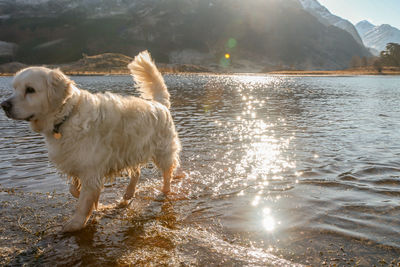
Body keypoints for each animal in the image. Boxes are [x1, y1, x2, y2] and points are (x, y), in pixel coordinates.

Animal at [0, 51, 181, 233]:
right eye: (14, 88)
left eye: (30, 90)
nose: (4, 105)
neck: (66, 116)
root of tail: (159, 104)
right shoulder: (75, 160)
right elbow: (74, 189)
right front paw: (89, 199)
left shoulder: (90, 169)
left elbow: (83, 202)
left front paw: (75, 223)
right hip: (131, 150)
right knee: (136, 172)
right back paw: (128, 194)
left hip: (162, 152)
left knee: (167, 173)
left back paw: (165, 191)